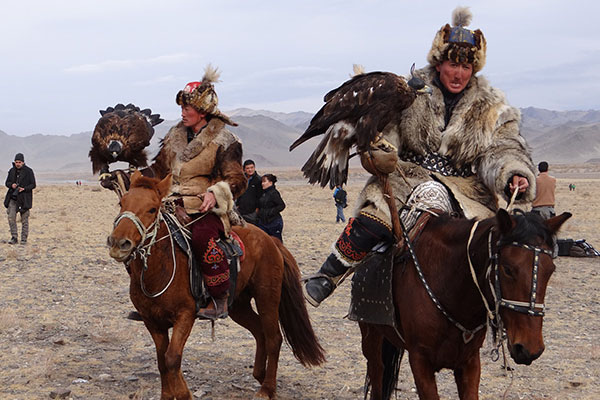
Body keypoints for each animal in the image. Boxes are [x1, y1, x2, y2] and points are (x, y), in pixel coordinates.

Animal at [106, 170, 324, 398]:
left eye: (152, 209)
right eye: (122, 203)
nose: (118, 243)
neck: (158, 271)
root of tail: (270, 240)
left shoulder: (185, 316)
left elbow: (172, 358)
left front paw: (184, 394)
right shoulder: (152, 321)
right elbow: (161, 361)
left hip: (267, 296)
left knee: (274, 337)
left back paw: (267, 388)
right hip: (238, 305)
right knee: (259, 331)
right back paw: (259, 374)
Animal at [358, 209, 568, 400]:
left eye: (551, 270)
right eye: (507, 269)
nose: (530, 348)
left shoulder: (469, 362)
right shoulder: (420, 361)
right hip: (371, 335)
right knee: (377, 371)